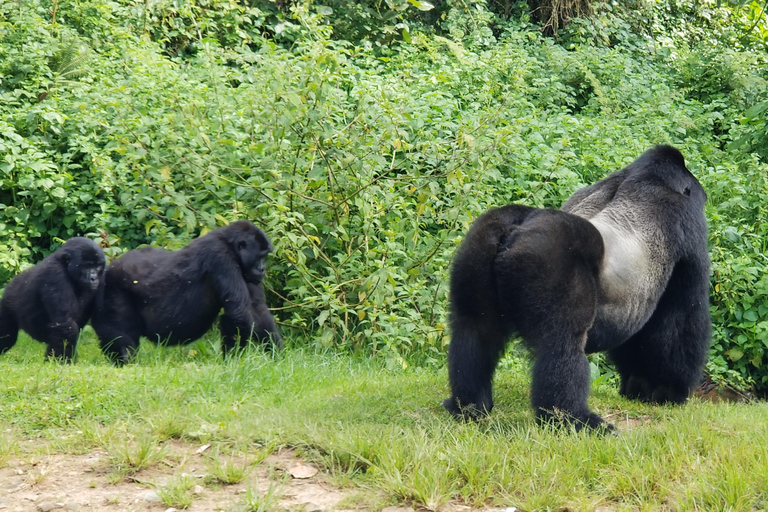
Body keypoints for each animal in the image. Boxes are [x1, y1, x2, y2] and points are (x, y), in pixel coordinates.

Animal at [91, 220, 280, 364]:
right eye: (260, 256)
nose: (262, 269)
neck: (230, 244)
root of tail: (106, 269)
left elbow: (257, 310)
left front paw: (277, 357)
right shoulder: (221, 256)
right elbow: (239, 314)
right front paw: (233, 363)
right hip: (111, 289)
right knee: (121, 339)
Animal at [440, 145, 712, 432]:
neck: (649, 178)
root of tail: (515, 228)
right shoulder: (688, 227)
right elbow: (682, 317)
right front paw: (665, 391)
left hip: (481, 238)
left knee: (474, 327)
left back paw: (469, 405)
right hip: (547, 252)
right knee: (562, 345)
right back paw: (572, 418)